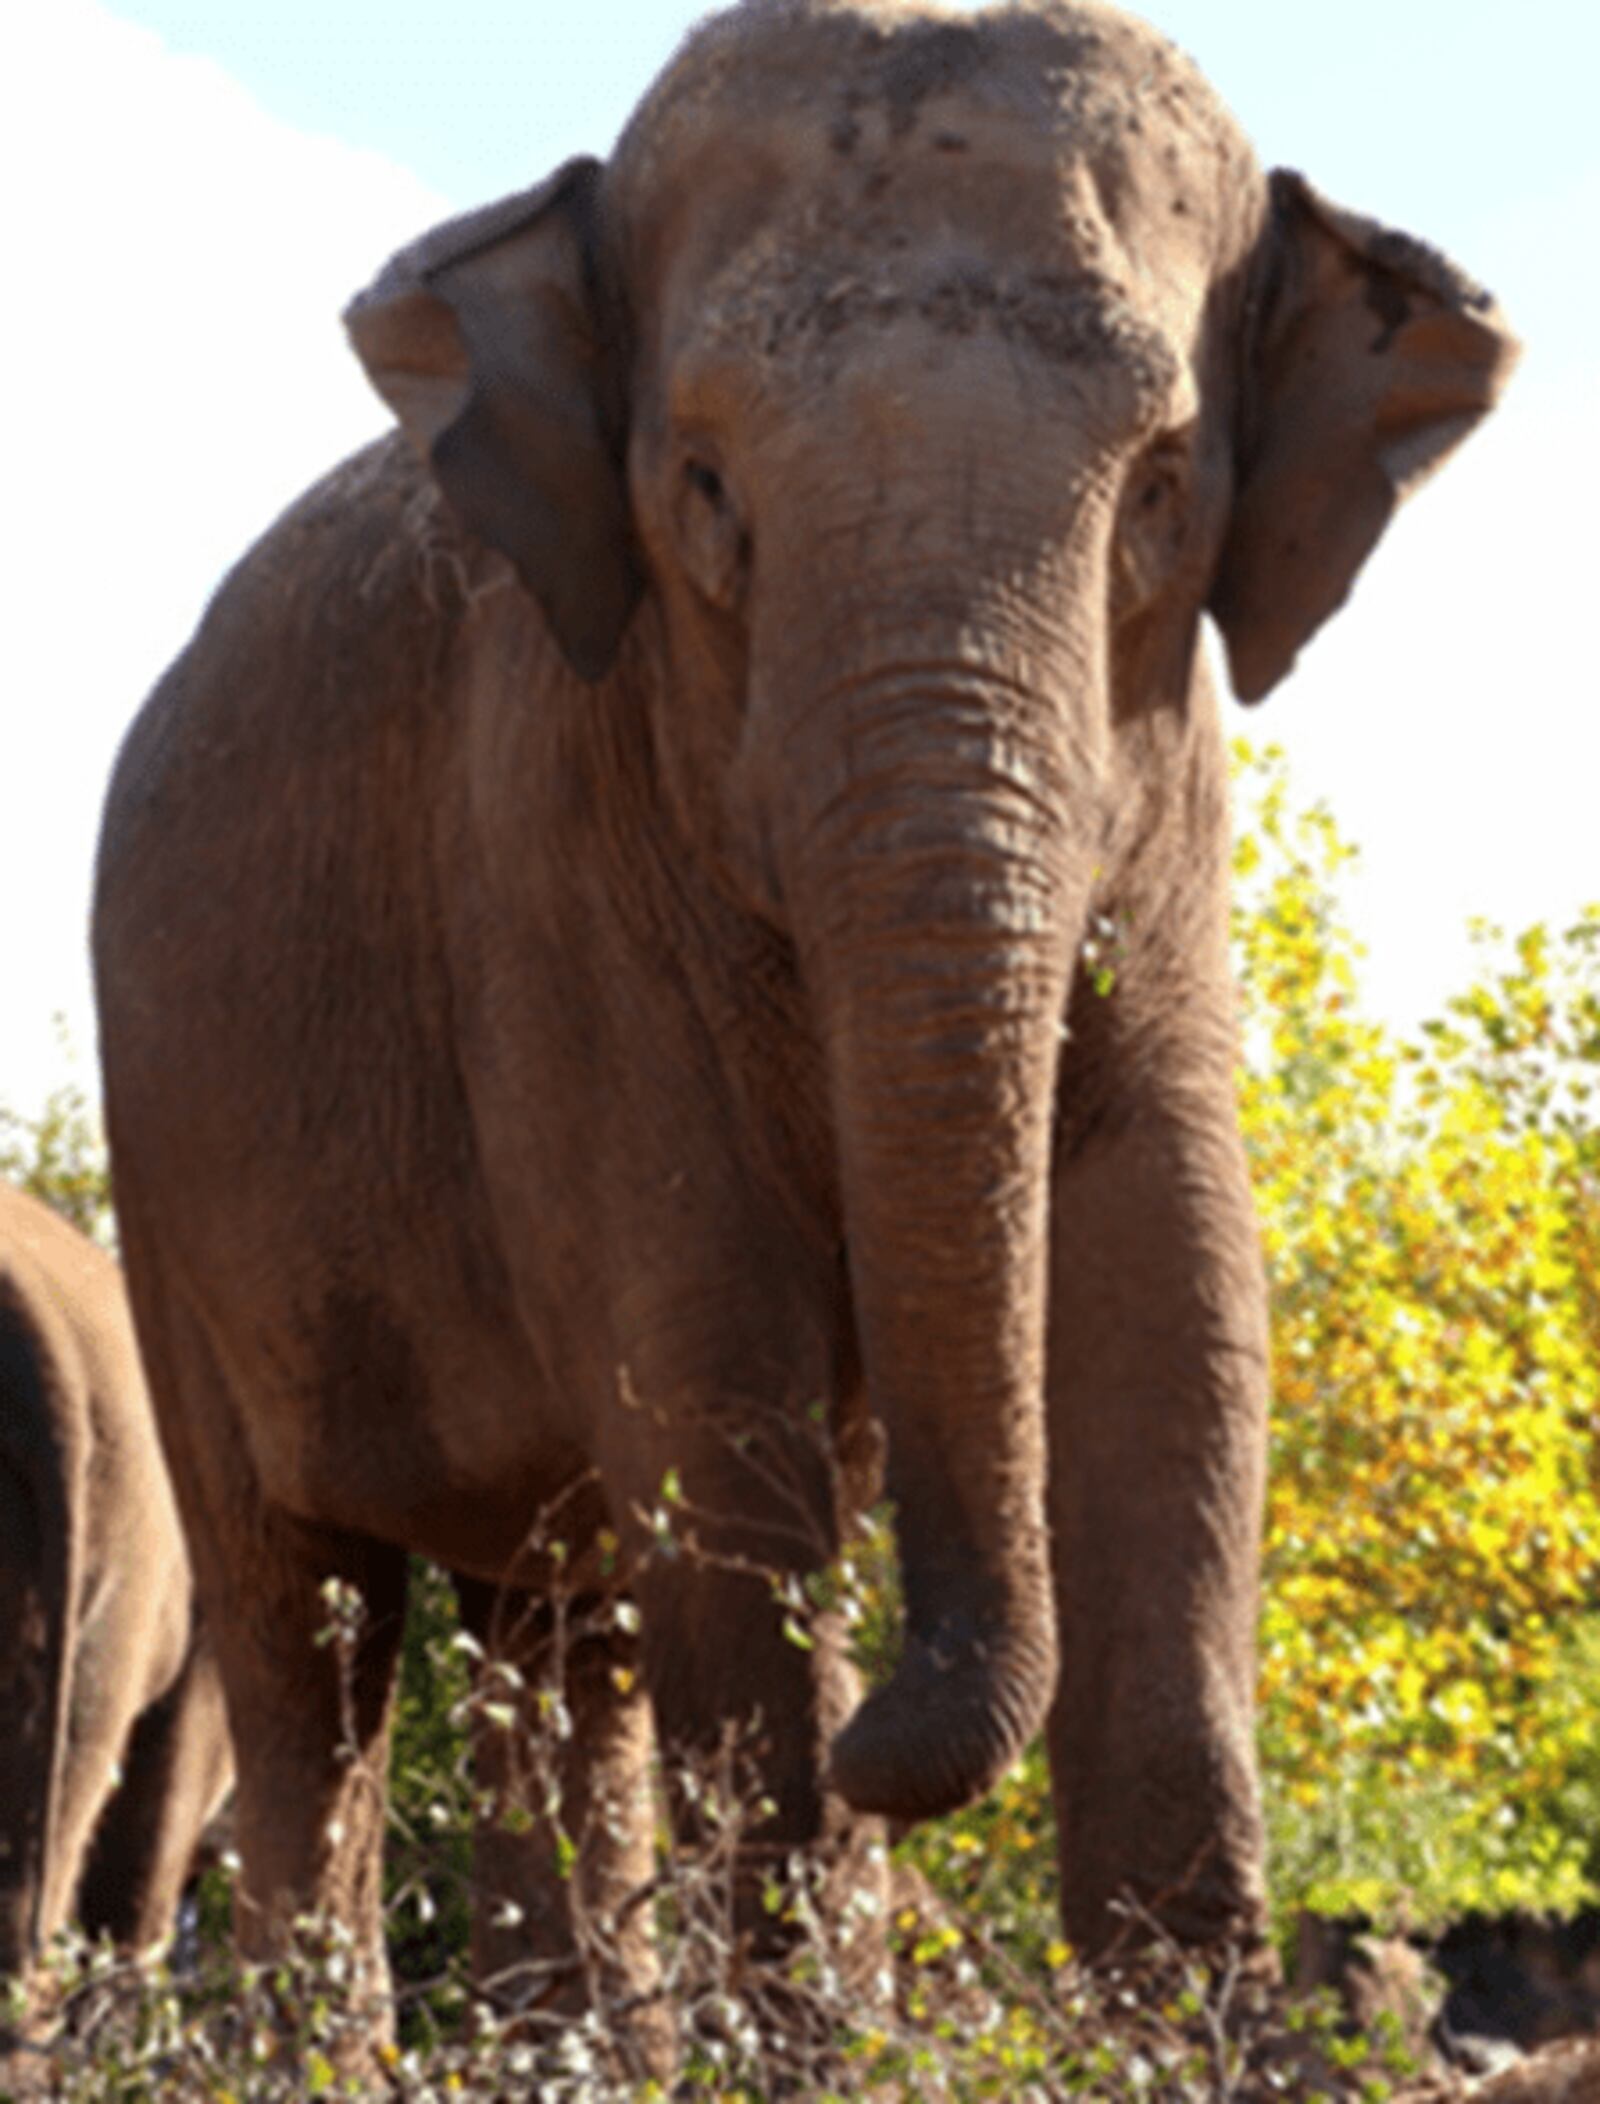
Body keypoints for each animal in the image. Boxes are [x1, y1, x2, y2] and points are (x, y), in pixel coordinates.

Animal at [87, 0, 1515, 2045]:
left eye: (1166, 485)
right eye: (704, 491)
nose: (888, 1759)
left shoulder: (1170, 840)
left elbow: (1177, 1324)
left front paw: (1189, 2043)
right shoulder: (553, 860)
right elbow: (710, 1363)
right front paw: (811, 2022)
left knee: (562, 1628)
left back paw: (576, 2033)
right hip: (165, 1173)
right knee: (310, 1632)